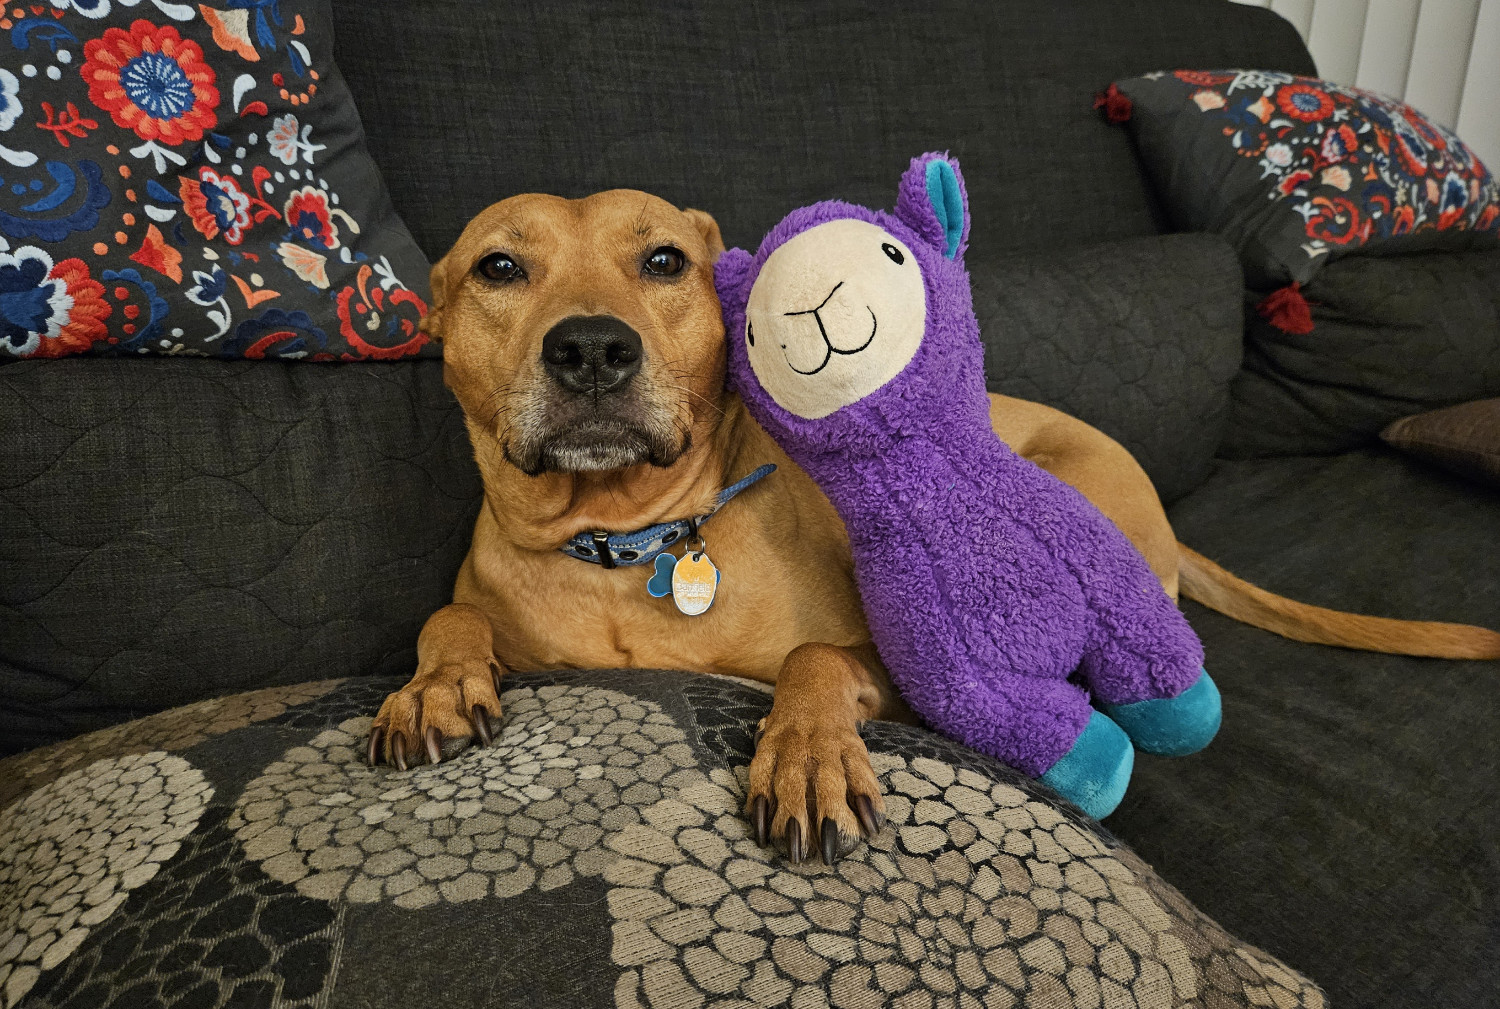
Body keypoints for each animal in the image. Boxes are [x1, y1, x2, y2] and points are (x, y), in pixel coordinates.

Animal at [369, 186, 1500, 857]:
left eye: (663, 263)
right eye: (499, 268)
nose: (592, 348)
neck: (627, 541)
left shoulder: (893, 666)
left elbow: (816, 657)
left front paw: (808, 752)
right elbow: (446, 616)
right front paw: (434, 685)